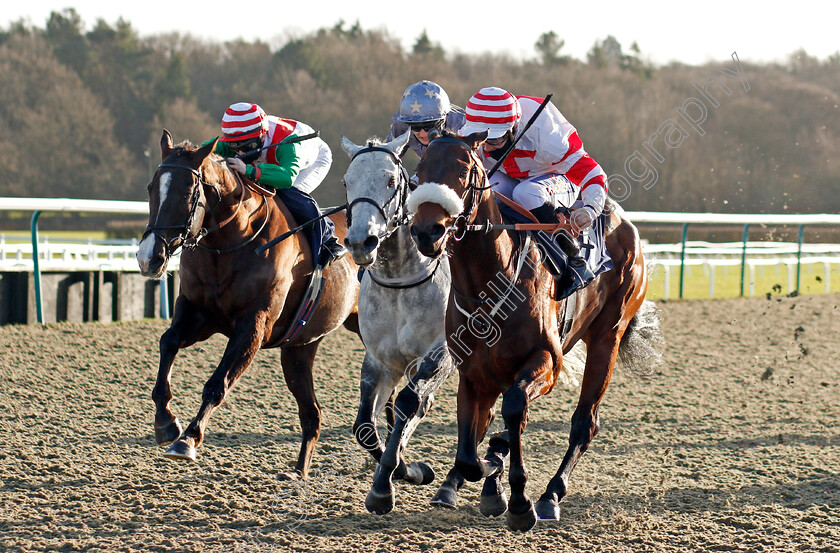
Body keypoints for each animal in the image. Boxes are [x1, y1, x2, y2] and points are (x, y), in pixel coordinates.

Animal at [136, 130, 360, 478]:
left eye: (187, 193)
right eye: (150, 188)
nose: (149, 258)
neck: (230, 243)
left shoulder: (254, 326)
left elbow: (217, 384)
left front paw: (187, 439)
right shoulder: (197, 312)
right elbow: (167, 342)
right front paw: (165, 422)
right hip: (299, 348)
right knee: (312, 413)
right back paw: (298, 471)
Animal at [406, 130, 664, 532]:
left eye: (463, 171)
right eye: (420, 168)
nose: (426, 231)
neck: (489, 283)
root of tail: (624, 222)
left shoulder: (546, 362)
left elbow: (513, 409)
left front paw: (518, 500)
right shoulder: (473, 373)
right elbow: (470, 447)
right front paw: (487, 478)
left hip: (608, 335)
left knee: (584, 422)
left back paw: (550, 495)